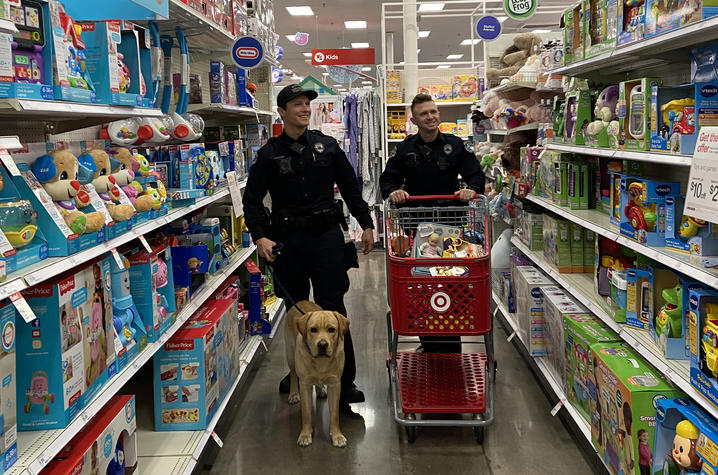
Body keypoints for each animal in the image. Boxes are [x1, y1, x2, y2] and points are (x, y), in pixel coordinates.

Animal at [288, 304, 352, 448]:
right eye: (313, 330)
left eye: (331, 329)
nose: (322, 344)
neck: (321, 361)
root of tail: (300, 301)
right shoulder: (305, 384)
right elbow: (306, 413)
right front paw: (305, 434)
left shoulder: (335, 384)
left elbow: (334, 414)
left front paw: (337, 435)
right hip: (290, 357)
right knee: (293, 374)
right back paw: (293, 393)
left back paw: (320, 390)